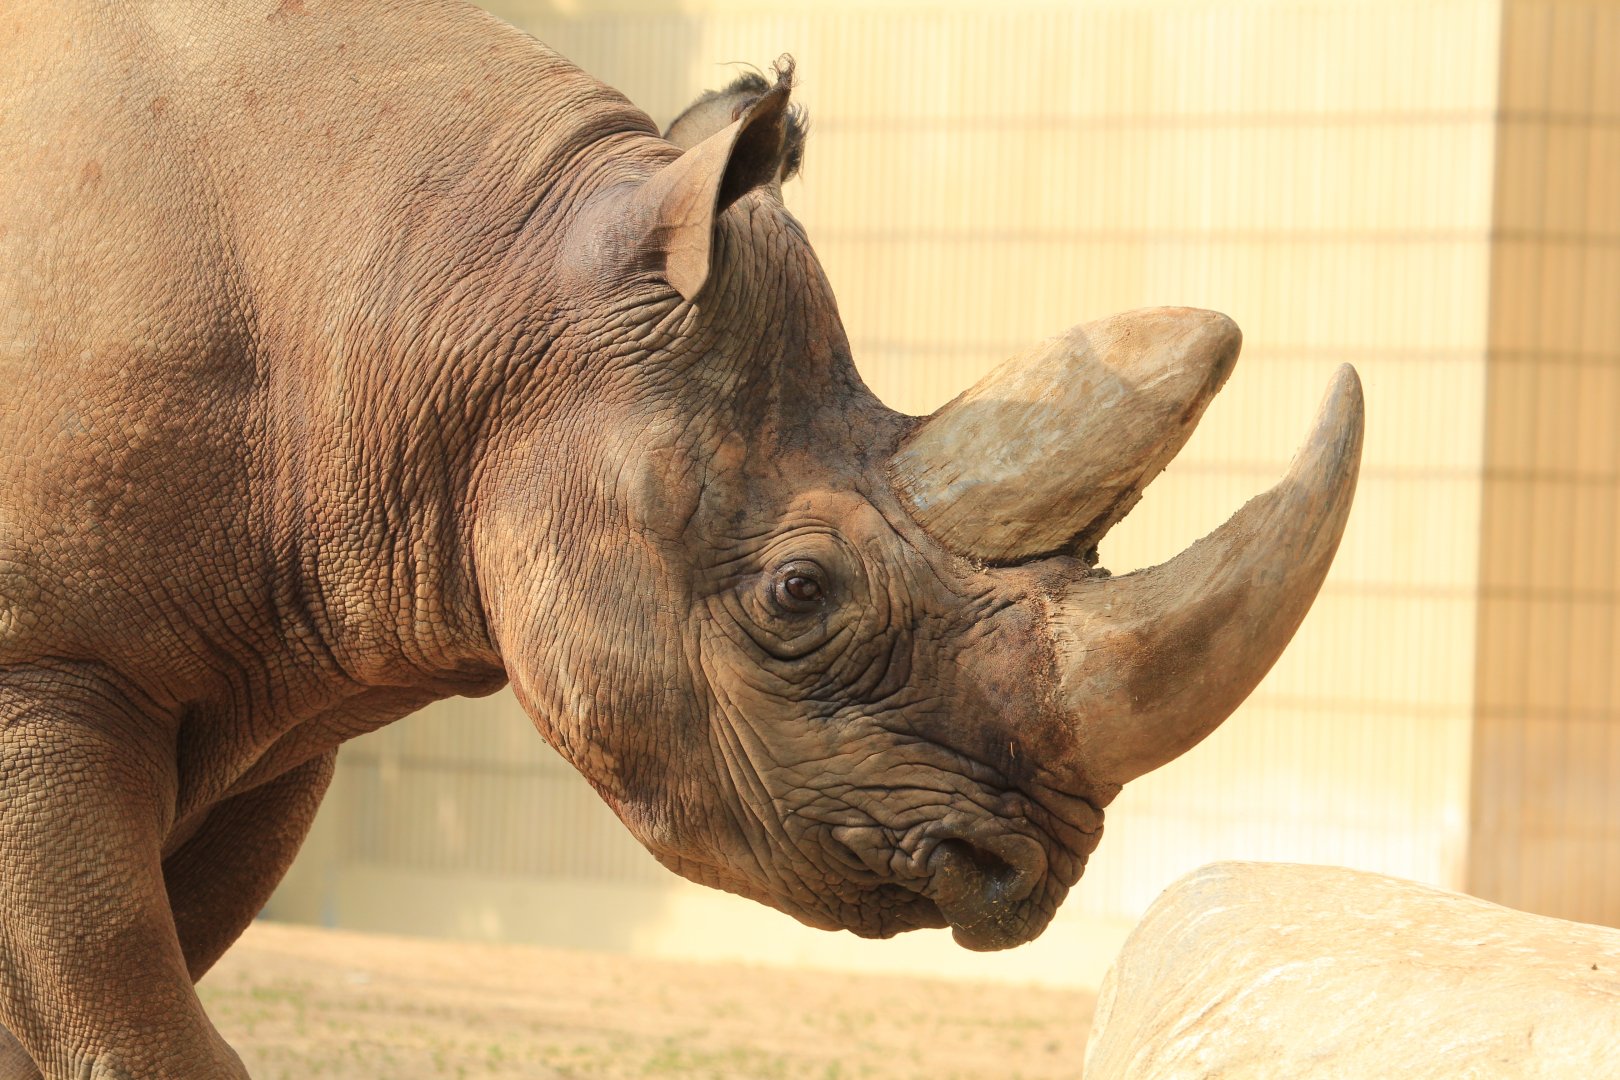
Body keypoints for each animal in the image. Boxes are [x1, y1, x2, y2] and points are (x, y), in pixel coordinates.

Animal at [0, 2, 1362, 1077]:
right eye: (800, 592)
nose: (1024, 869)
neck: (459, 284)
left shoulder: (277, 686)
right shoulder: (47, 668)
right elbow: (137, 1018)